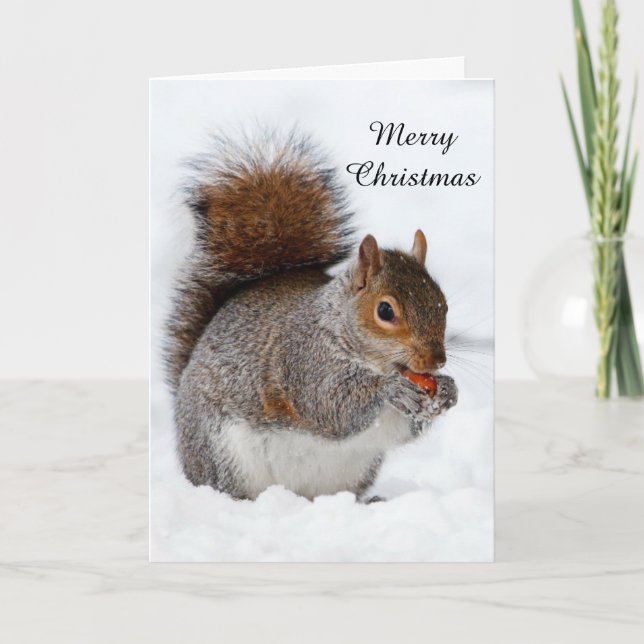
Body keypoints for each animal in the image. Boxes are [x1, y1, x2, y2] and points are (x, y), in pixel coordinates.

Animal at [165, 130, 458, 502]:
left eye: (443, 303)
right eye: (385, 310)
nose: (436, 361)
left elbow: (403, 428)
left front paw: (448, 391)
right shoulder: (304, 360)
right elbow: (331, 406)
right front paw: (390, 389)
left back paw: (368, 502)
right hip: (221, 453)